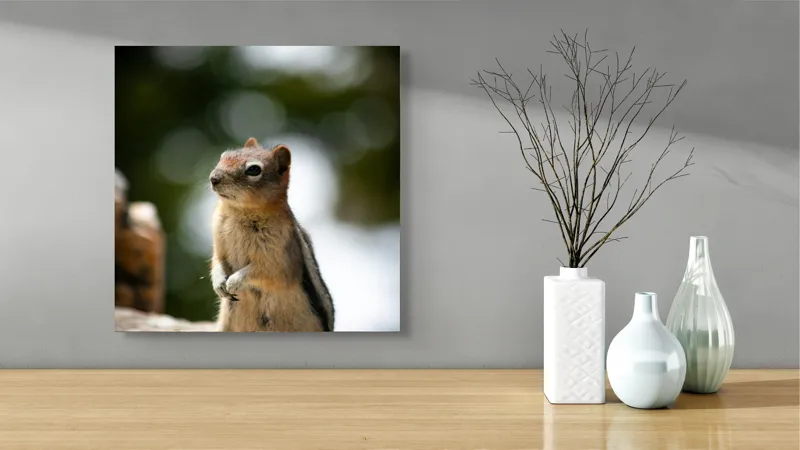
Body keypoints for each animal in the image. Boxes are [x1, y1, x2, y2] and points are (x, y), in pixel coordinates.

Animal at [208, 137, 335, 332]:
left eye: (254, 169)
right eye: (223, 156)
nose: (213, 178)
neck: (240, 212)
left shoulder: (278, 256)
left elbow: (266, 271)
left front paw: (233, 281)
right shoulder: (218, 244)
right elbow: (217, 262)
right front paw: (219, 282)